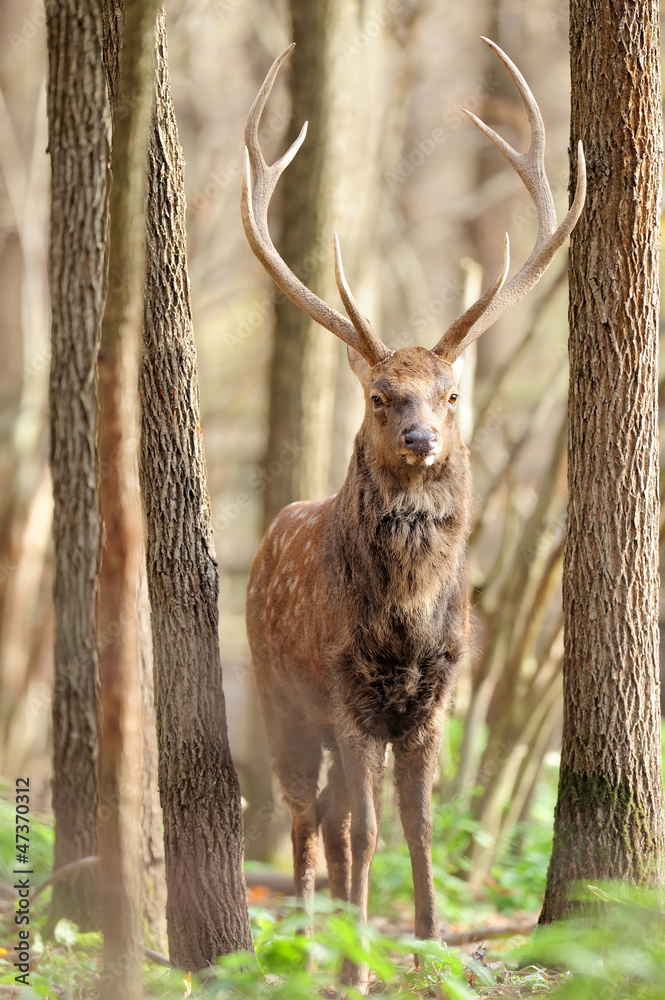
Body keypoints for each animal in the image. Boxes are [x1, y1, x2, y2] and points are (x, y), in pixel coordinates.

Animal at [242, 38, 585, 986]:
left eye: (451, 392)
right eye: (379, 395)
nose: (422, 437)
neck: (400, 623)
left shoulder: (435, 695)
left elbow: (419, 827)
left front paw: (433, 952)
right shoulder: (344, 687)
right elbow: (365, 832)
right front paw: (359, 969)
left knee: (323, 813)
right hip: (277, 692)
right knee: (304, 814)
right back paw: (301, 948)